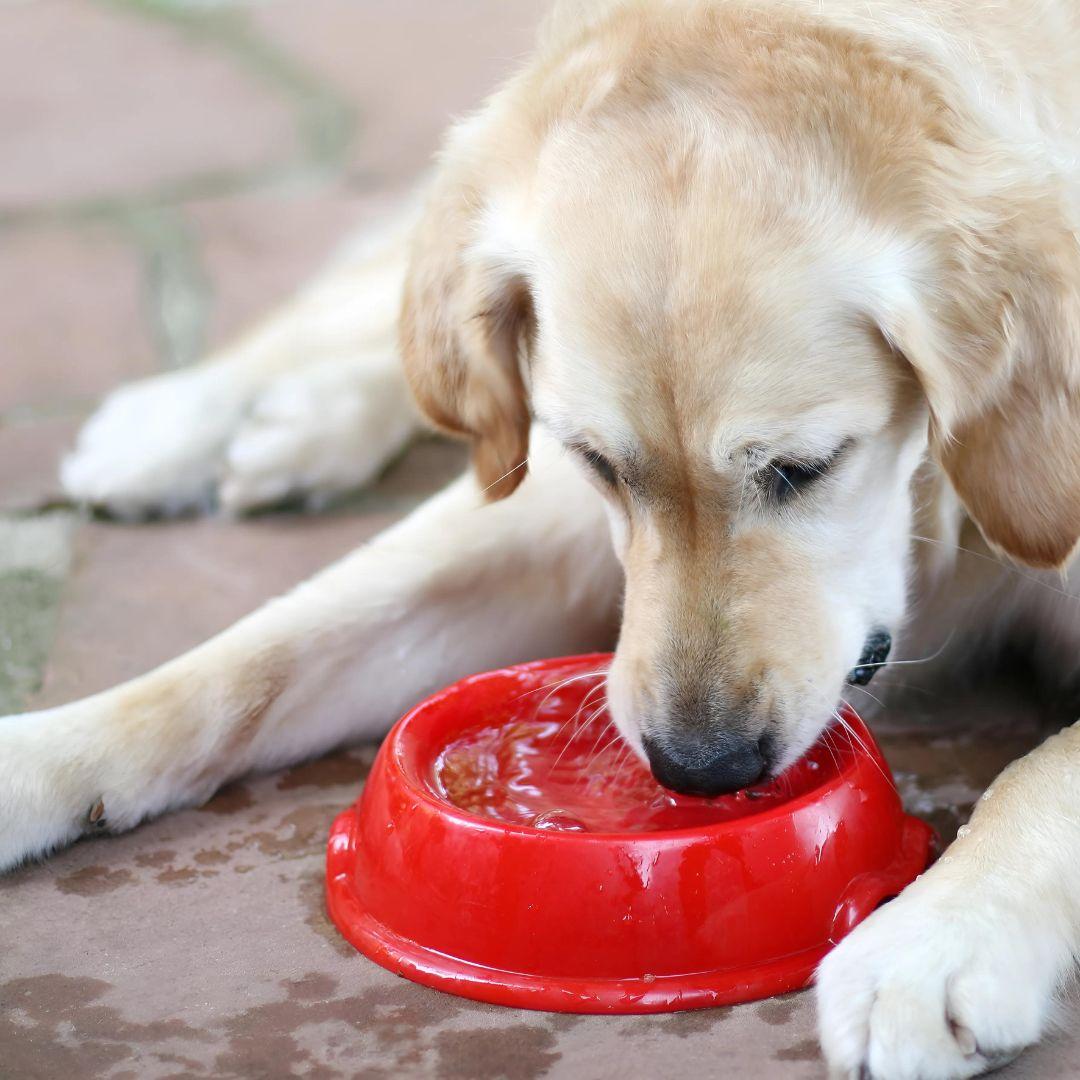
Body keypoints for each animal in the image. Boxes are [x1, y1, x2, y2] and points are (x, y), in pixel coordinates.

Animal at [2, 2, 1080, 1080]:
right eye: (598, 460)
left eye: (806, 467)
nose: (701, 767)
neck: (938, 488)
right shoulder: (542, 502)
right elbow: (250, 658)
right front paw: (42, 753)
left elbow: (1045, 773)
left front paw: (935, 942)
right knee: (404, 303)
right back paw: (196, 417)